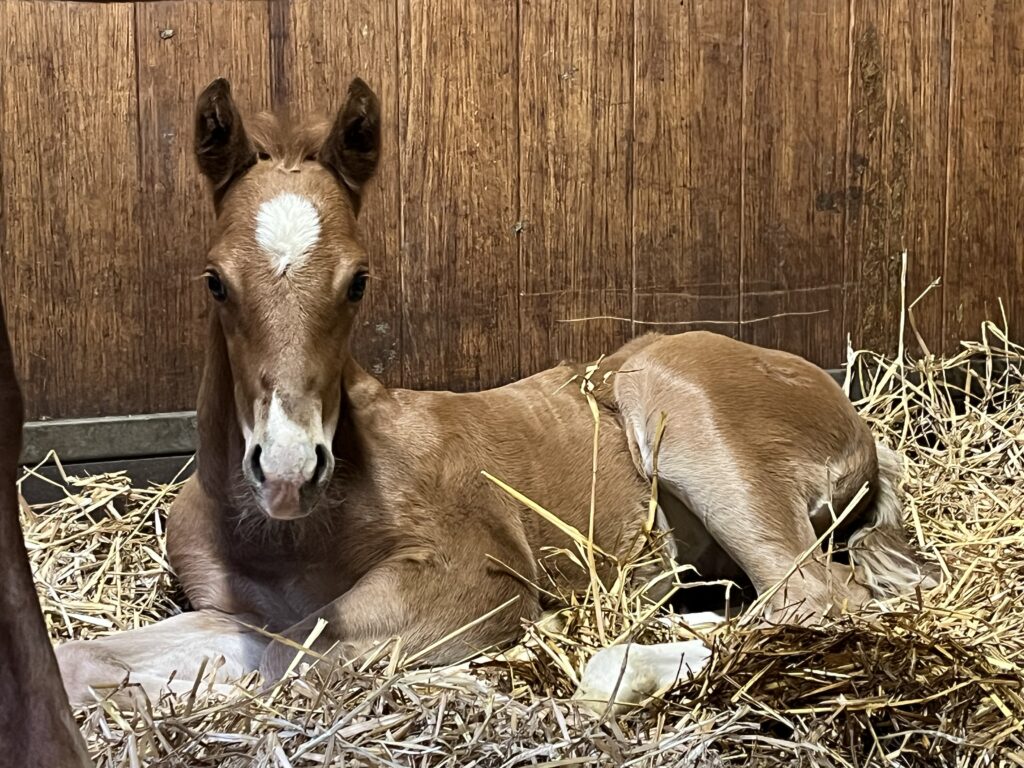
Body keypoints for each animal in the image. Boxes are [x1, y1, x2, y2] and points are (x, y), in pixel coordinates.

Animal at [54, 77, 936, 711]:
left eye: (359, 279)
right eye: (214, 280)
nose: (288, 467)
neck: (282, 535)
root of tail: (855, 418)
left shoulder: (476, 575)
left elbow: (304, 661)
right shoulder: (234, 610)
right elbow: (101, 657)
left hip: (682, 415)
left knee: (819, 596)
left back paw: (622, 667)